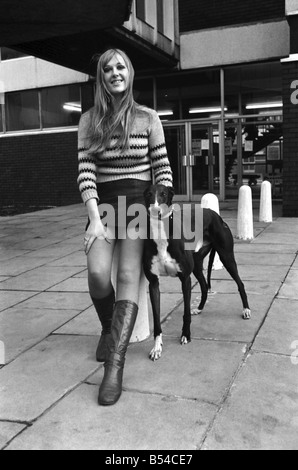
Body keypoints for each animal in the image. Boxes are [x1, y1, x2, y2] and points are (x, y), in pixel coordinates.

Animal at [143, 184, 250, 360]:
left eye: (163, 194)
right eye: (148, 194)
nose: (155, 210)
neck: (161, 234)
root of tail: (215, 215)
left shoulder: (185, 279)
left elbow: (185, 312)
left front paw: (186, 335)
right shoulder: (153, 283)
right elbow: (157, 321)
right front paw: (157, 347)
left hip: (227, 257)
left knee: (240, 283)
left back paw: (246, 310)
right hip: (198, 264)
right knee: (205, 286)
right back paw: (199, 308)